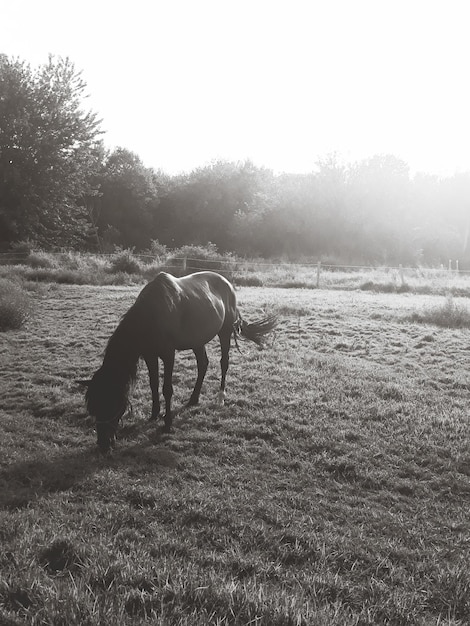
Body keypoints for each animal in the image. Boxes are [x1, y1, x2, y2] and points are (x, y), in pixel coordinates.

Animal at [80, 268, 278, 448]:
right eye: (93, 407)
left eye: (111, 403)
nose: (103, 445)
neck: (152, 315)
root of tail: (227, 284)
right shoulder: (150, 355)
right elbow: (153, 384)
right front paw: (154, 415)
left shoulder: (168, 354)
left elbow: (167, 389)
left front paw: (167, 423)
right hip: (198, 340)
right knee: (203, 364)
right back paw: (193, 399)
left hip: (224, 333)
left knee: (224, 363)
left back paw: (220, 397)